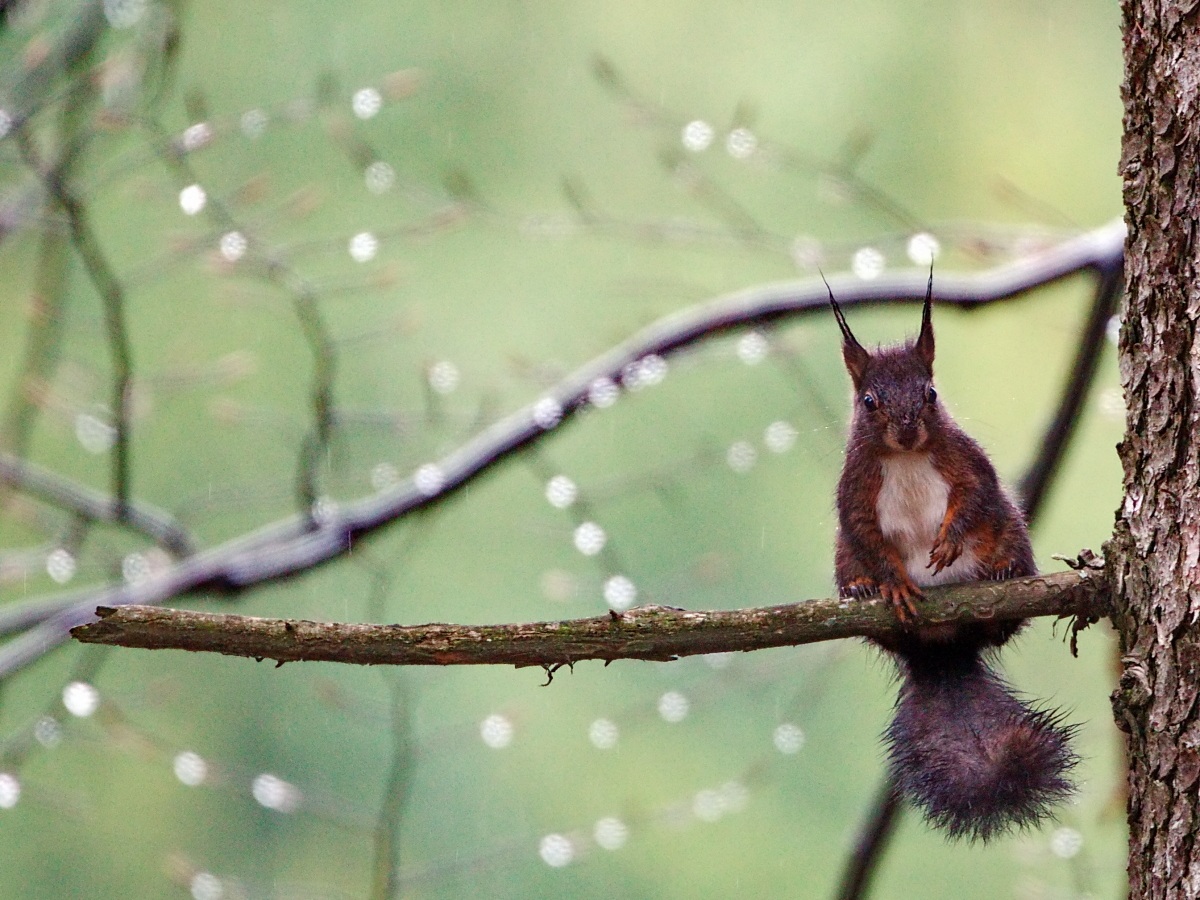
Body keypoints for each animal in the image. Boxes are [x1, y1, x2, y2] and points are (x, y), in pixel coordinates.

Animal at [826, 270, 1076, 841]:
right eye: (868, 400)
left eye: (931, 392)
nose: (907, 427)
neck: (906, 455)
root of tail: (942, 653)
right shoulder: (854, 493)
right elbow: (867, 535)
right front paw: (891, 580)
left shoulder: (970, 463)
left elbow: (975, 498)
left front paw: (949, 541)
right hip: (843, 558)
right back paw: (861, 589)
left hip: (1009, 530)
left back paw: (1003, 577)